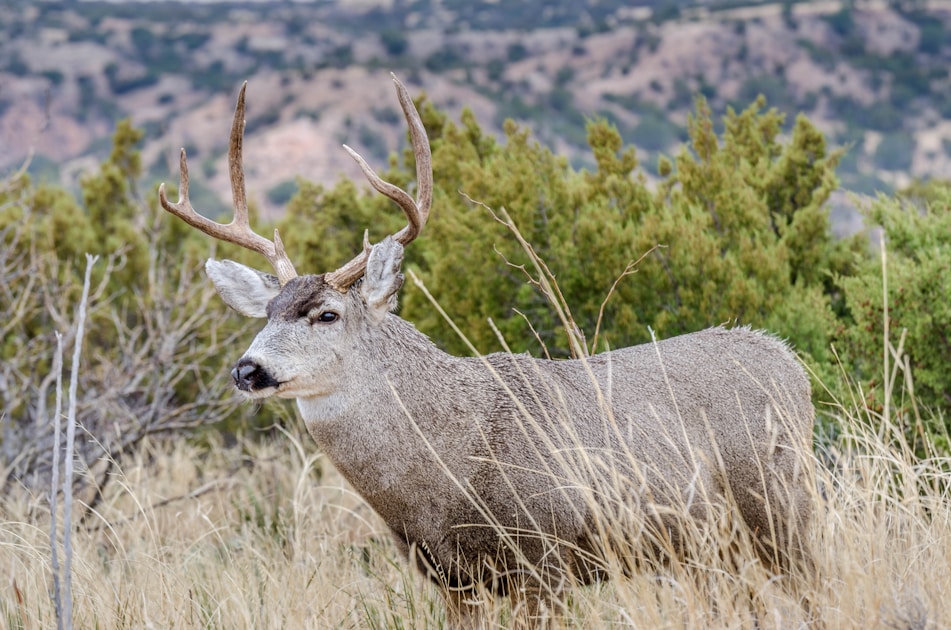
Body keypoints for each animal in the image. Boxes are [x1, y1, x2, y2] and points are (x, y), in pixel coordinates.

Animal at [158, 74, 816, 628]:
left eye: (327, 314)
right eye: (267, 313)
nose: (248, 369)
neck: (449, 465)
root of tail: (788, 360)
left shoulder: (547, 558)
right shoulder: (450, 579)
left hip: (783, 508)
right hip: (713, 547)